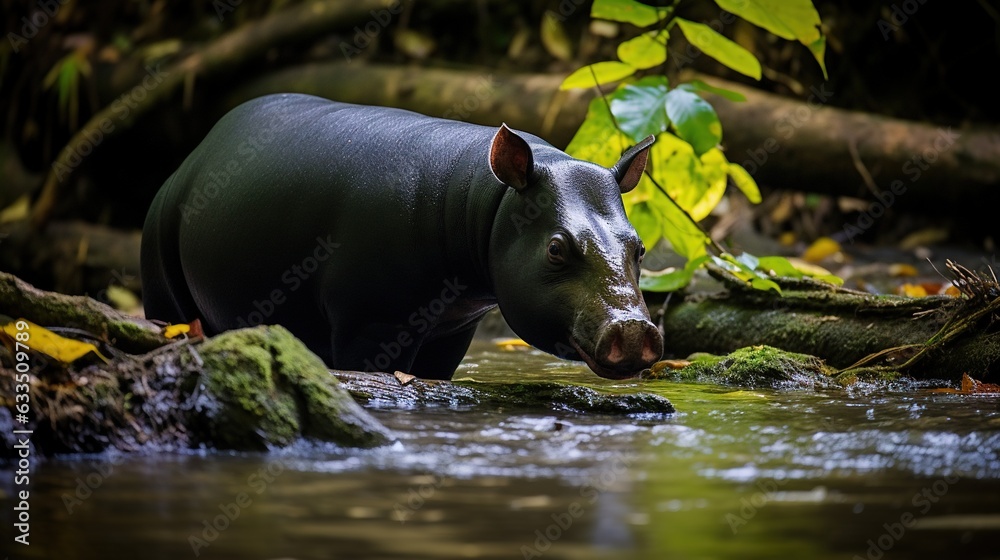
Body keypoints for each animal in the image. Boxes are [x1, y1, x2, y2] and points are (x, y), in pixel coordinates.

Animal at [141, 94, 663, 380]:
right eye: (555, 248)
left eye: (639, 246)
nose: (635, 330)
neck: (483, 200)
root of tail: (195, 153)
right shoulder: (372, 324)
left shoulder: (452, 330)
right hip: (160, 280)